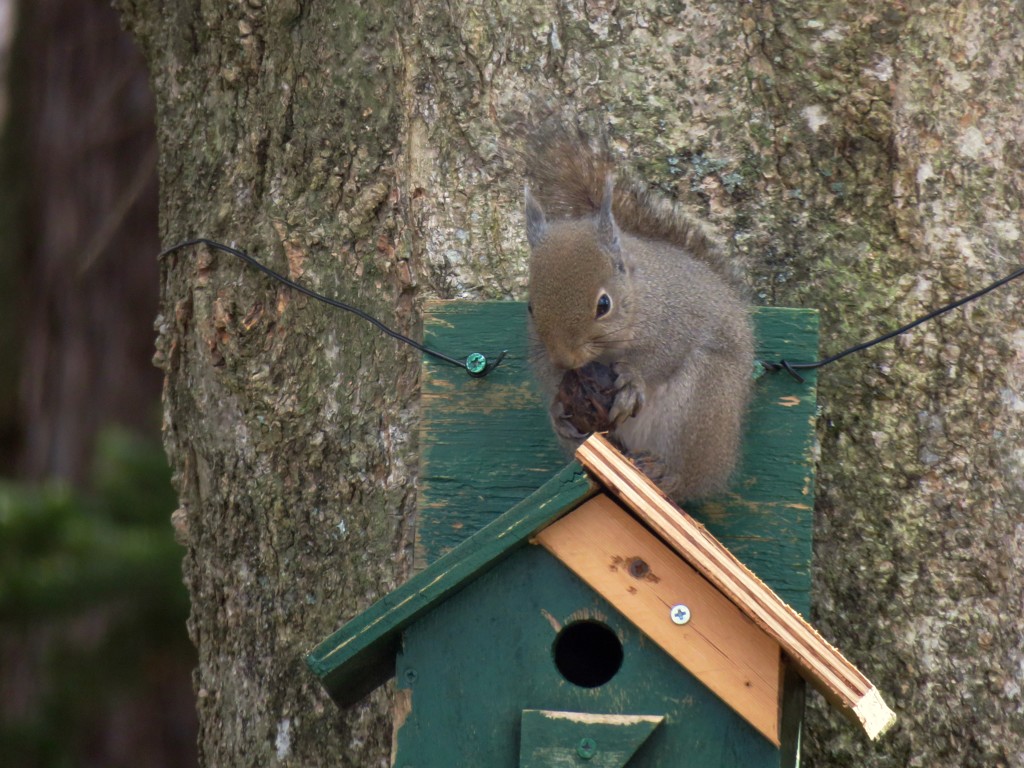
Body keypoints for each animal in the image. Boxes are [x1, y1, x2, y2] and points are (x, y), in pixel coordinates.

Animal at [524, 128, 757, 505]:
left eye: (604, 304)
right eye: (530, 306)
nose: (566, 359)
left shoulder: (675, 320)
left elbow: (662, 357)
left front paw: (633, 380)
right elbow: (549, 378)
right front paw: (559, 405)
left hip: (701, 407)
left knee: (688, 478)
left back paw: (669, 474)